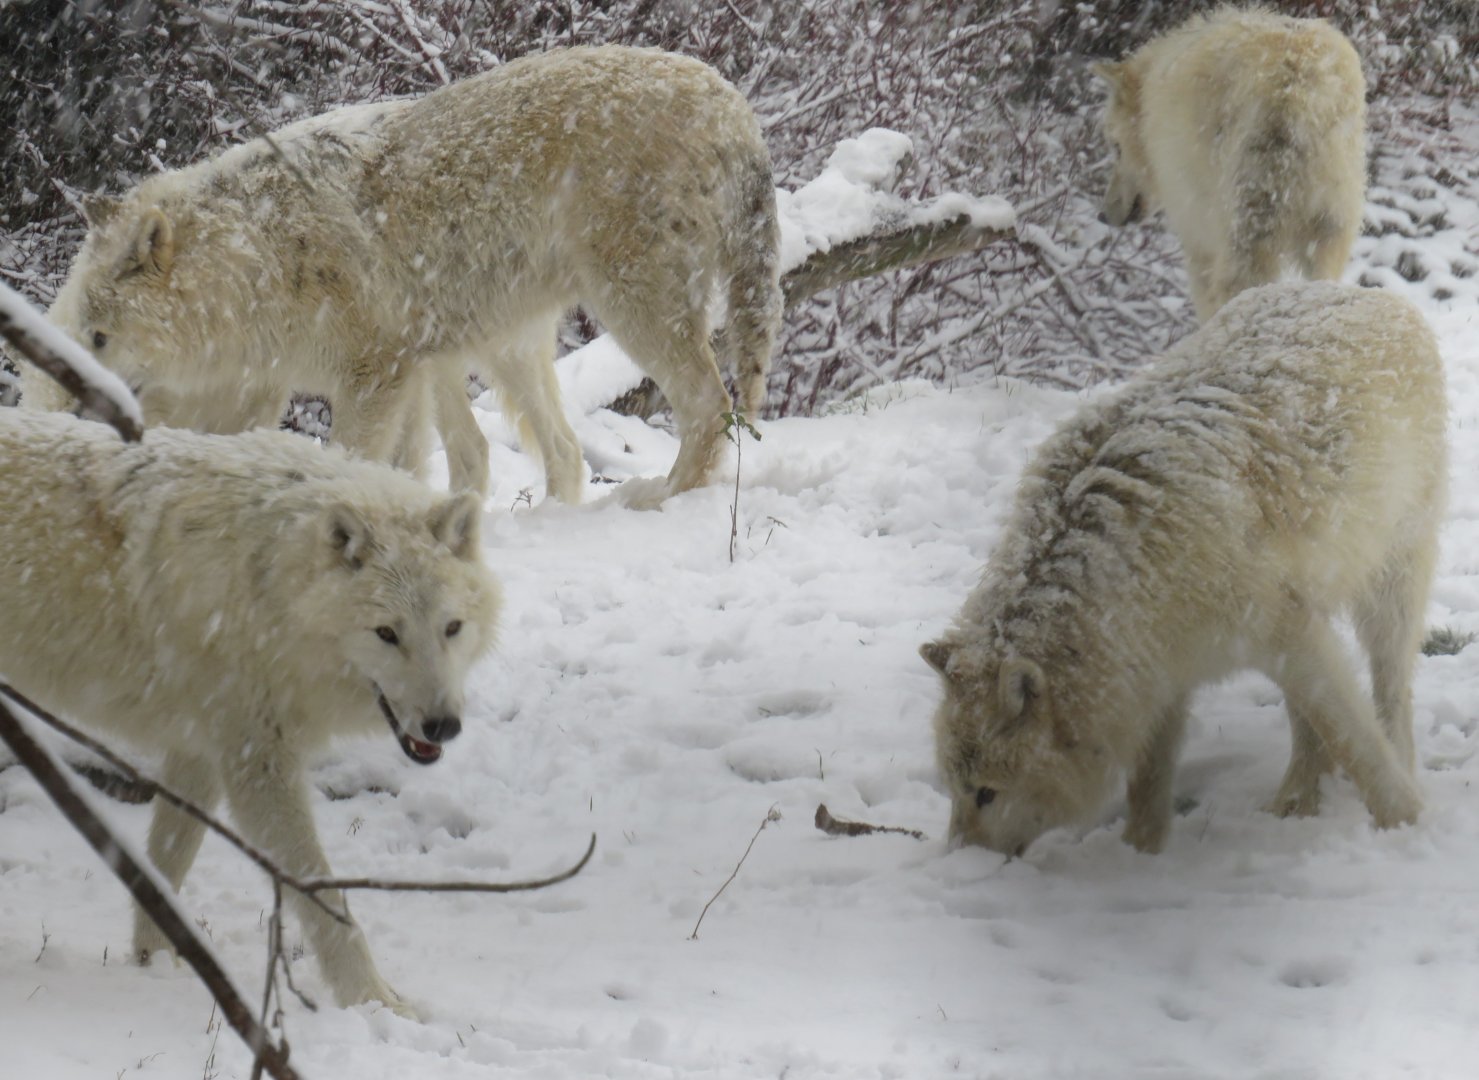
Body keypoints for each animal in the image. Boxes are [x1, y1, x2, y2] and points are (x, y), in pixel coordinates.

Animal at [0, 407, 501, 1013]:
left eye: (451, 628)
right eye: (386, 634)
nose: (442, 726)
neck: (269, 584)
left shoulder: (201, 750)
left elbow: (165, 865)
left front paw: (158, 964)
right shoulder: (256, 764)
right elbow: (325, 899)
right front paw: (374, 1003)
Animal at [33, 45, 782, 505]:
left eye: (99, 340)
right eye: (79, 337)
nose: (66, 413)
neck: (260, 260)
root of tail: (734, 104)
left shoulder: (375, 373)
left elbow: (352, 465)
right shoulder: (395, 373)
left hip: (630, 310)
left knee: (707, 407)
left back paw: (660, 498)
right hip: (499, 345)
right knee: (561, 450)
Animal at [922, 282, 1445, 857]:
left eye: (987, 793)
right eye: (952, 787)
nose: (958, 861)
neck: (1120, 571)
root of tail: (1366, 294)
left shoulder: (1282, 637)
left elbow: (1354, 738)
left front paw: (1406, 820)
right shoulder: (1158, 668)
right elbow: (1149, 777)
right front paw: (1140, 853)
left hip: (1390, 585)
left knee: (1390, 688)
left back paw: (1383, 770)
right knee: (1308, 719)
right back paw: (1299, 798)